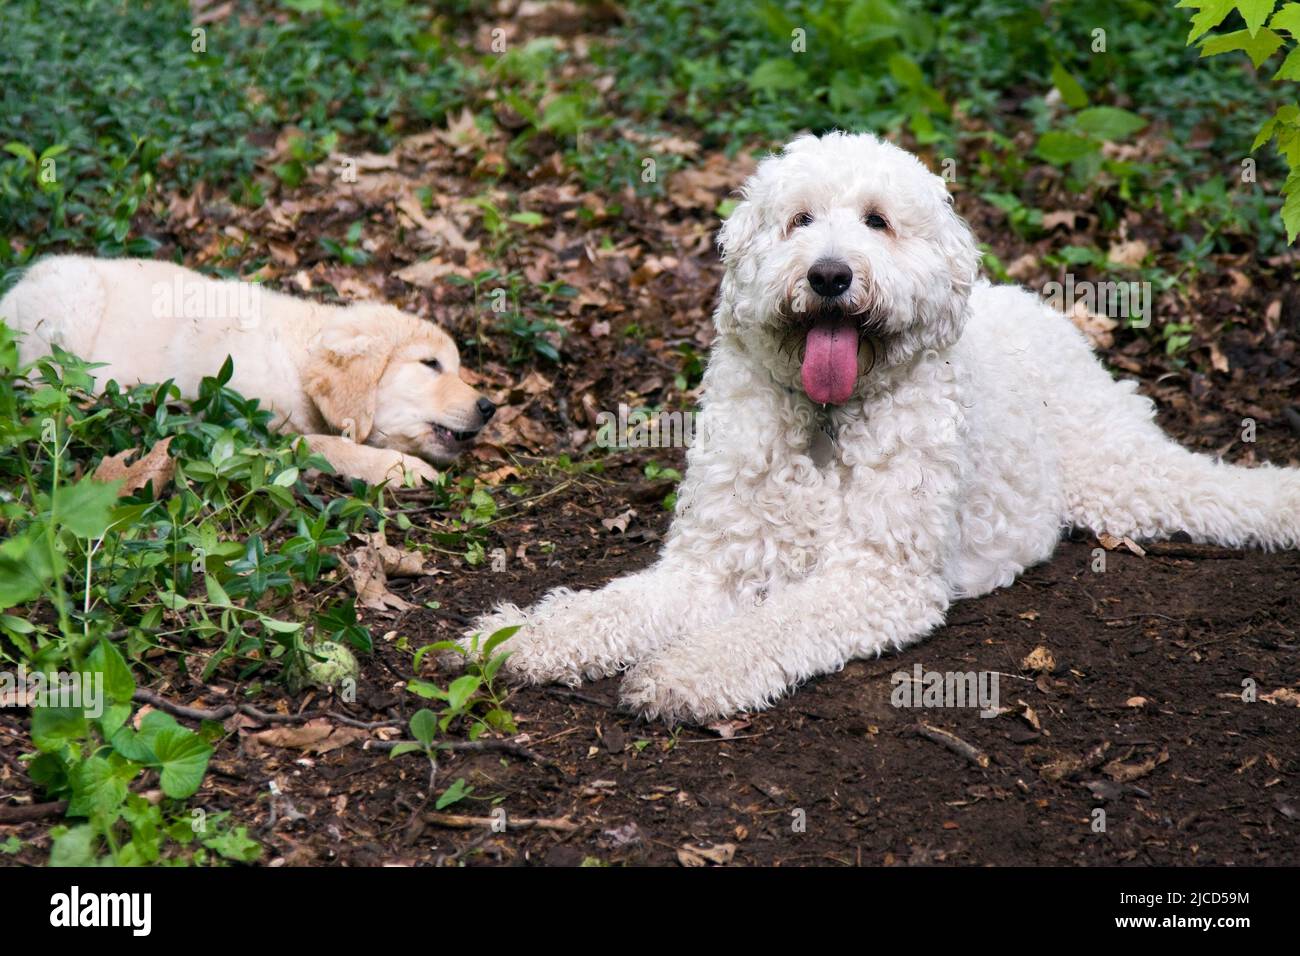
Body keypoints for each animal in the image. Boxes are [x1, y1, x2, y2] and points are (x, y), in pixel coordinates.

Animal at [0, 256, 496, 486]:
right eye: (430, 364)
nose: (489, 407)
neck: (297, 354)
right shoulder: (240, 427)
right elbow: (323, 444)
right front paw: (404, 469)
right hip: (68, 310)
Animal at [467, 130, 1300, 723]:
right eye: (799, 219)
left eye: (878, 221)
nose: (830, 274)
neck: (827, 422)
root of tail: (1037, 305)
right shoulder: (714, 565)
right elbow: (616, 607)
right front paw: (522, 638)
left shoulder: (876, 577)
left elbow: (771, 626)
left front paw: (685, 672)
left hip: (1121, 472)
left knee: (1213, 489)